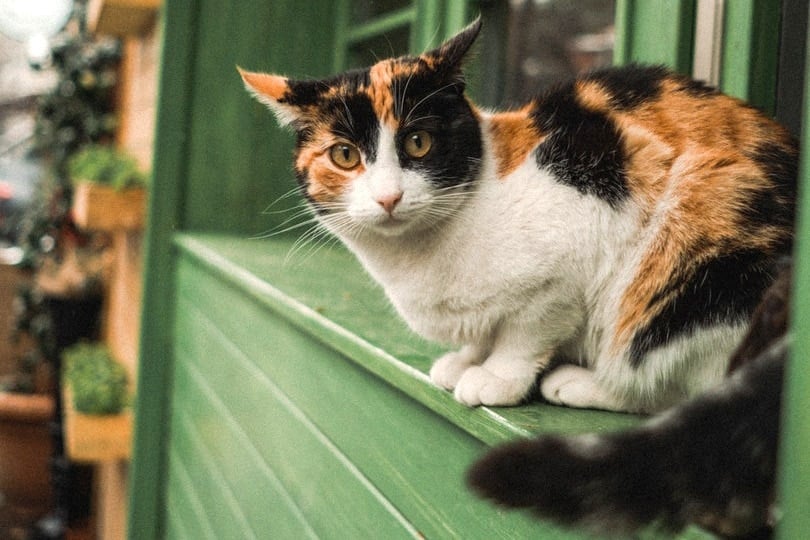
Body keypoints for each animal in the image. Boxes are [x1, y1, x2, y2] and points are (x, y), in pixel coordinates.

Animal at [237, 16, 792, 414]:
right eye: (345, 155)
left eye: (418, 142)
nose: (389, 198)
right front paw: (465, 360)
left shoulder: (573, 248)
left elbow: (525, 333)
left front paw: (495, 376)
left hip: (698, 265)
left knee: (671, 384)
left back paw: (584, 384)